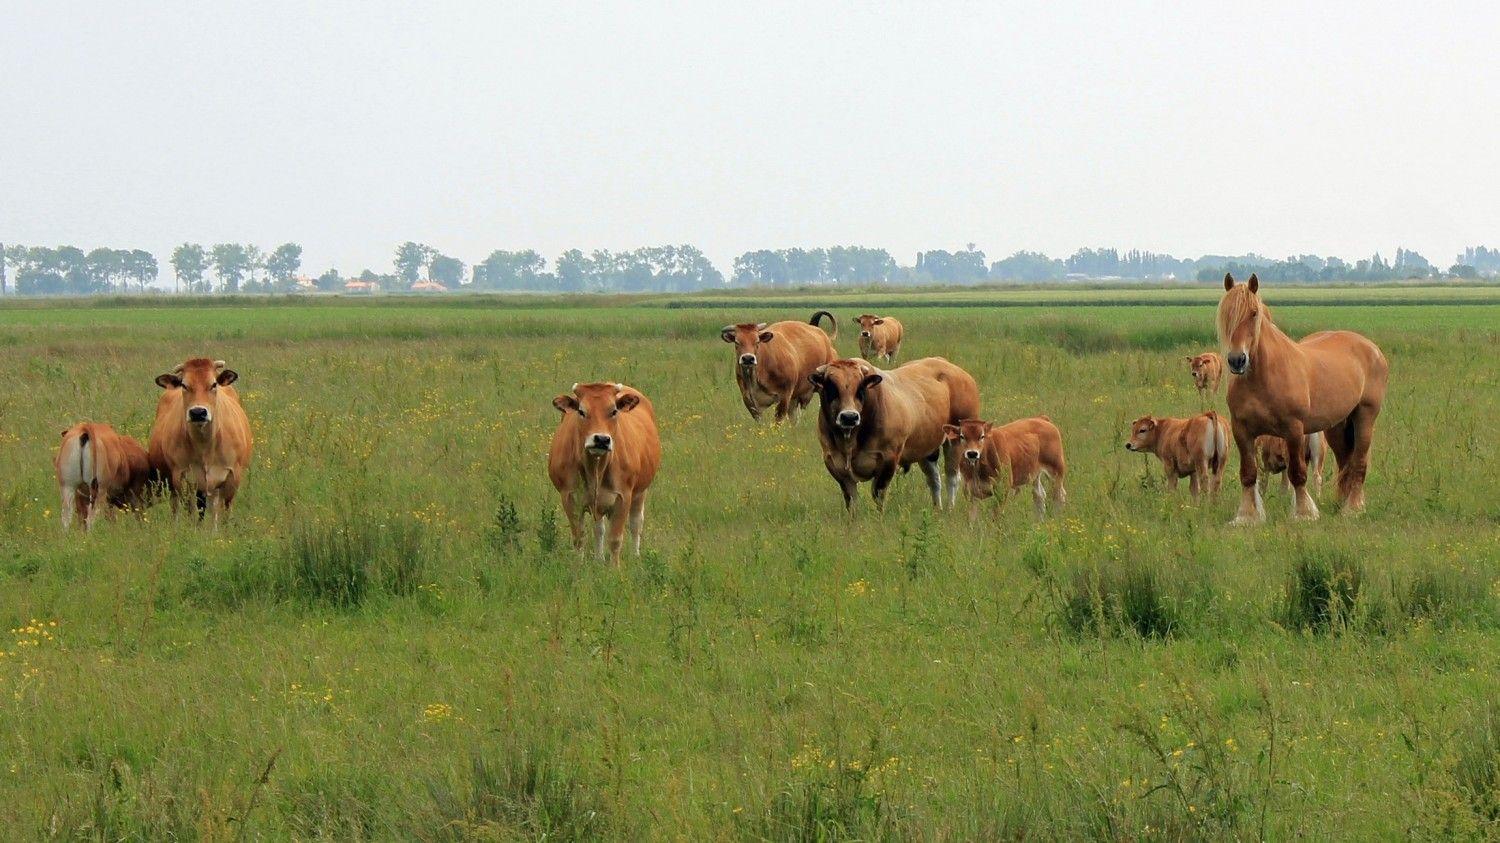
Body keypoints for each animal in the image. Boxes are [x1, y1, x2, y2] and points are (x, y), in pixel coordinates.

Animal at [147, 355, 253, 525]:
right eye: (184, 385)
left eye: (214, 384)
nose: (198, 412)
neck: (205, 445)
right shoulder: (182, 477)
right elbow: (191, 512)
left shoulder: (232, 476)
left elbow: (225, 511)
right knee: (177, 507)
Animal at [549, 381, 660, 564]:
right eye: (581, 411)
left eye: (614, 411)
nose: (601, 439)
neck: (595, 468)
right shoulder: (569, 498)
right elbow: (579, 538)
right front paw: (578, 566)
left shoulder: (623, 497)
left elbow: (615, 539)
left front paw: (615, 568)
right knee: (598, 528)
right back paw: (599, 558)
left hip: (640, 492)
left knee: (636, 523)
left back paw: (636, 556)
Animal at [810, 355, 984, 513]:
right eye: (830, 387)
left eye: (860, 387)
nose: (849, 417)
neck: (850, 441)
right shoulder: (835, 463)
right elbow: (851, 500)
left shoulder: (888, 459)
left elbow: (878, 494)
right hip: (926, 448)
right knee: (934, 479)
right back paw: (937, 509)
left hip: (956, 442)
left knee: (952, 477)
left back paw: (949, 509)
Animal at [936, 414, 1068, 519]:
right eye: (962, 436)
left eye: (982, 436)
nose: (972, 453)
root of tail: (1041, 418)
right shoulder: (971, 492)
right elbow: (972, 518)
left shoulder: (1002, 489)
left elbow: (995, 516)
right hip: (1034, 475)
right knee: (1039, 495)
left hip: (1056, 471)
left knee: (1059, 496)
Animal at [1212, 273, 1386, 522]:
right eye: (1226, 312)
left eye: (1254, 313)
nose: (1237, 360)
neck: (1264, 375)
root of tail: (1372, 349)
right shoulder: (1242, 430)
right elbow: (1248, 474)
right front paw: (1247, 516)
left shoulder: (1293, 430)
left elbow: (1297, 474)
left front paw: (1304, 513)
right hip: (1337, 426)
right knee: (1345, 461)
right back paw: (1340, 503)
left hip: (1365, 417)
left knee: (1359, 463)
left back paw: (1352, 509)